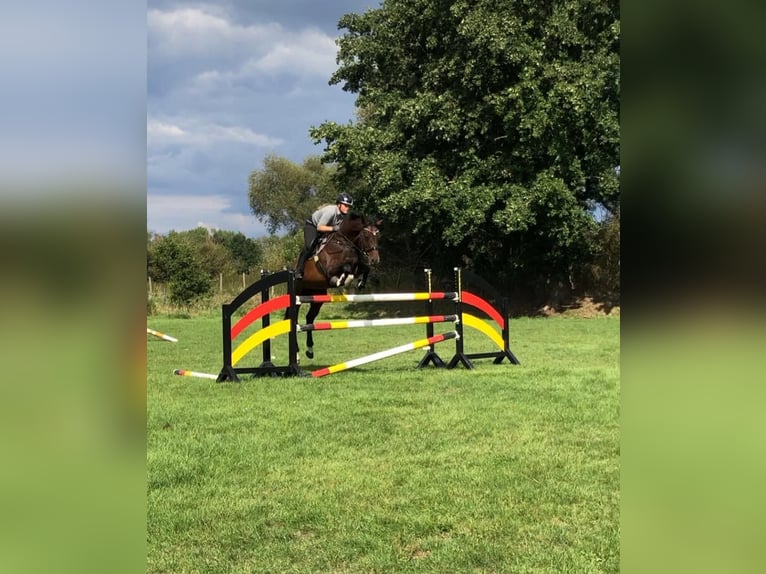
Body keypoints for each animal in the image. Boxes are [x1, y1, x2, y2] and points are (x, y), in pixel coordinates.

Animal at [293, 214, 381, 359]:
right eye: (366, 236)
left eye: (378, 235)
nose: (375, 260)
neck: (344, 243)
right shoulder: (329, 268)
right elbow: (345, 268)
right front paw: (340, 280)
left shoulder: (357, 266)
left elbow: (363, 268)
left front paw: (360, 283)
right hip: (298, 294)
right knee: (293, 317)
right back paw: (297, 351)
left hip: (318, 296)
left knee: (309, 318)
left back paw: (310, 350)